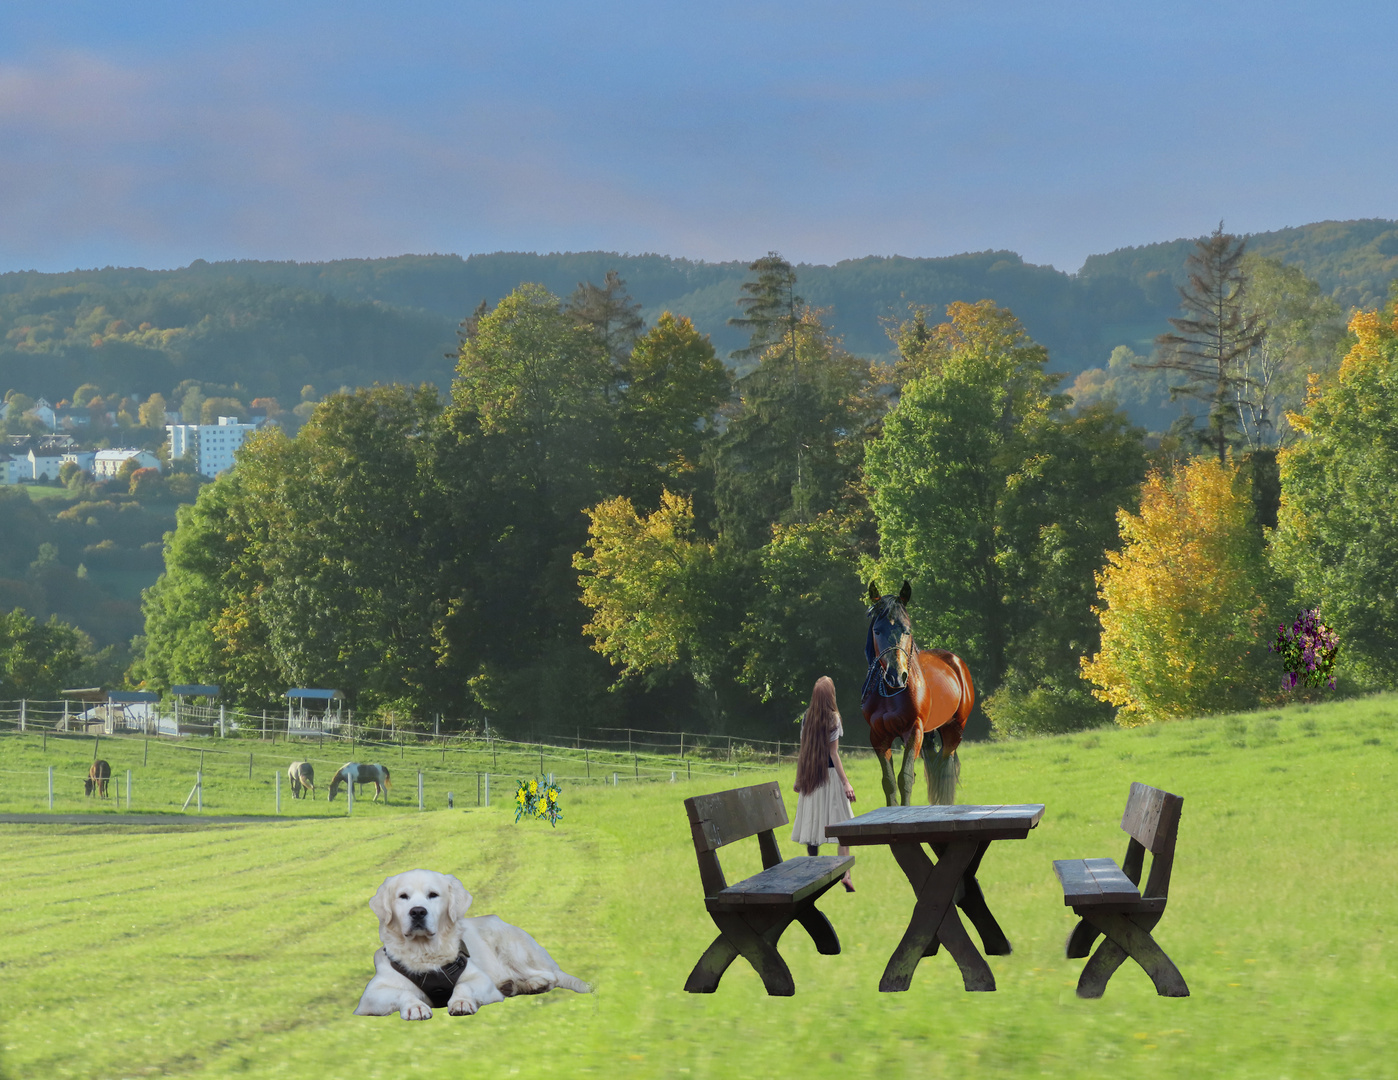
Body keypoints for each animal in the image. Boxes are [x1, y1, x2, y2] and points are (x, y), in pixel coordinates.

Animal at [355, 866, 589, 1017]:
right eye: (403, 896)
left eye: (433, 895)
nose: (418, 912)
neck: (425, 952)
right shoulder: (371, 995)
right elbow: (403, 992)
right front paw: (416, 1006)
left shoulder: (479, 978)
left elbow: (464, 986)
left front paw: (461, 1002)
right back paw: (512, 986)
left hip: (510, 946)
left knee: (550, 976)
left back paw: (532, 984)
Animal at [861, 581, 973, 799]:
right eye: (877, 631)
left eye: (907, 629)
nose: (896, 675)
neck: (891, 694)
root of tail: (956, 662)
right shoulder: (878, 736)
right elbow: (888, 782)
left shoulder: (913, 731)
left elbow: (905, 778)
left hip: (953, 731)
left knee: (942, 771)